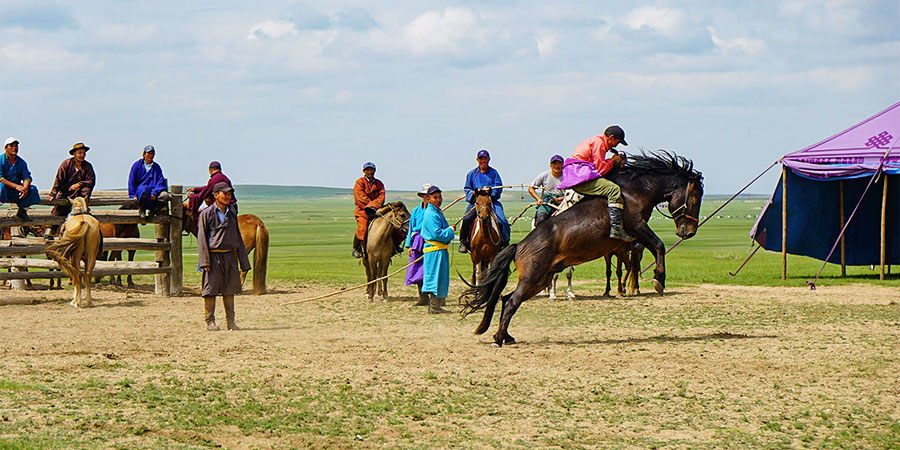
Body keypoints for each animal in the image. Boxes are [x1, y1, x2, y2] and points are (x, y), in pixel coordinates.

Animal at [461, 151, 703, 347]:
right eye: (695, 197)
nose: (690, 231)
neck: (635, 190)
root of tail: (519, 245)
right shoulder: (637, 227)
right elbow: (658, 245)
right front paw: (658, 279)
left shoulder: (634, 237)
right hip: (532, 277)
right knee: (511, 301)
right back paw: (499, 338)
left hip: (540, 280)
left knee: (506, 299)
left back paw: (506, 336)